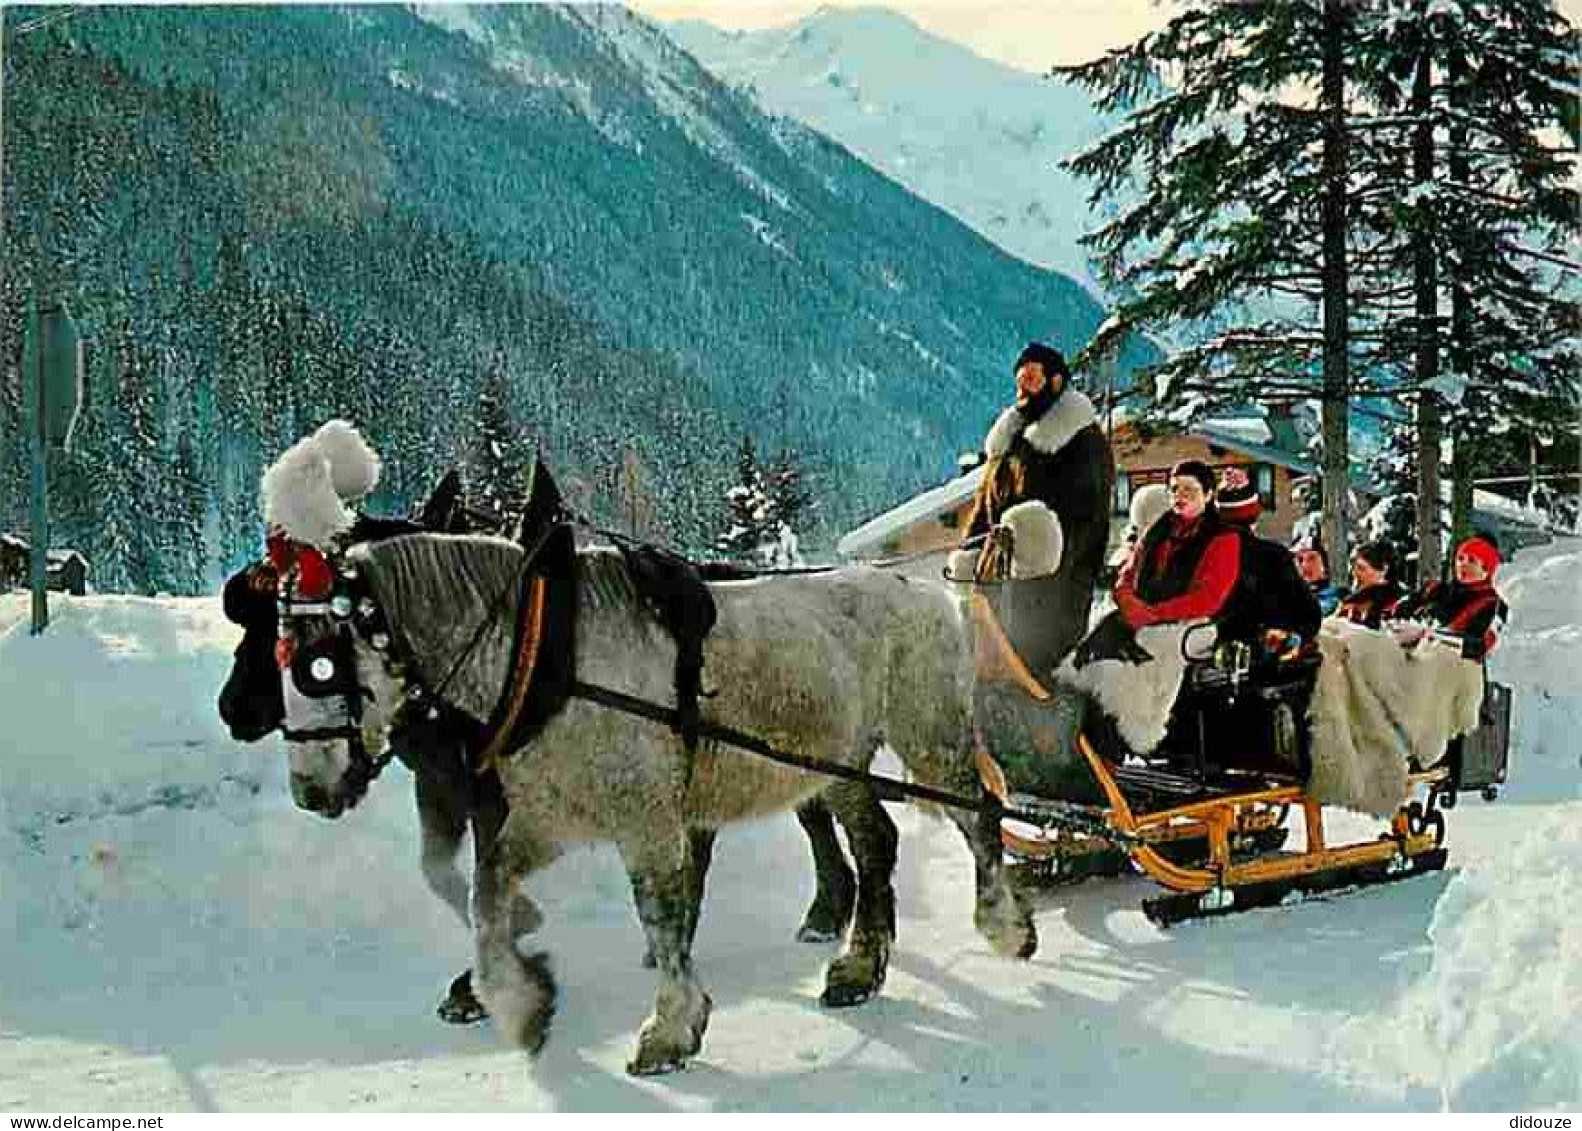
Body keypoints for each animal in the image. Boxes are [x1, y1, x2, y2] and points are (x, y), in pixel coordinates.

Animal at [276, 534, 1031, 1075]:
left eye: (319, 667)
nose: (309, 791)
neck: (549, 658)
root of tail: (924, 591)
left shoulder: (648, 824)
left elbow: (663, 916)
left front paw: (670, 1028)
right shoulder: (548, 818)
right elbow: (487, 893)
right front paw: (522, 1003)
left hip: (928, 738)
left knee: (977, 814)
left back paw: (1003, 922)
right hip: (834, 765)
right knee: (875, 841)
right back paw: (858, 968)